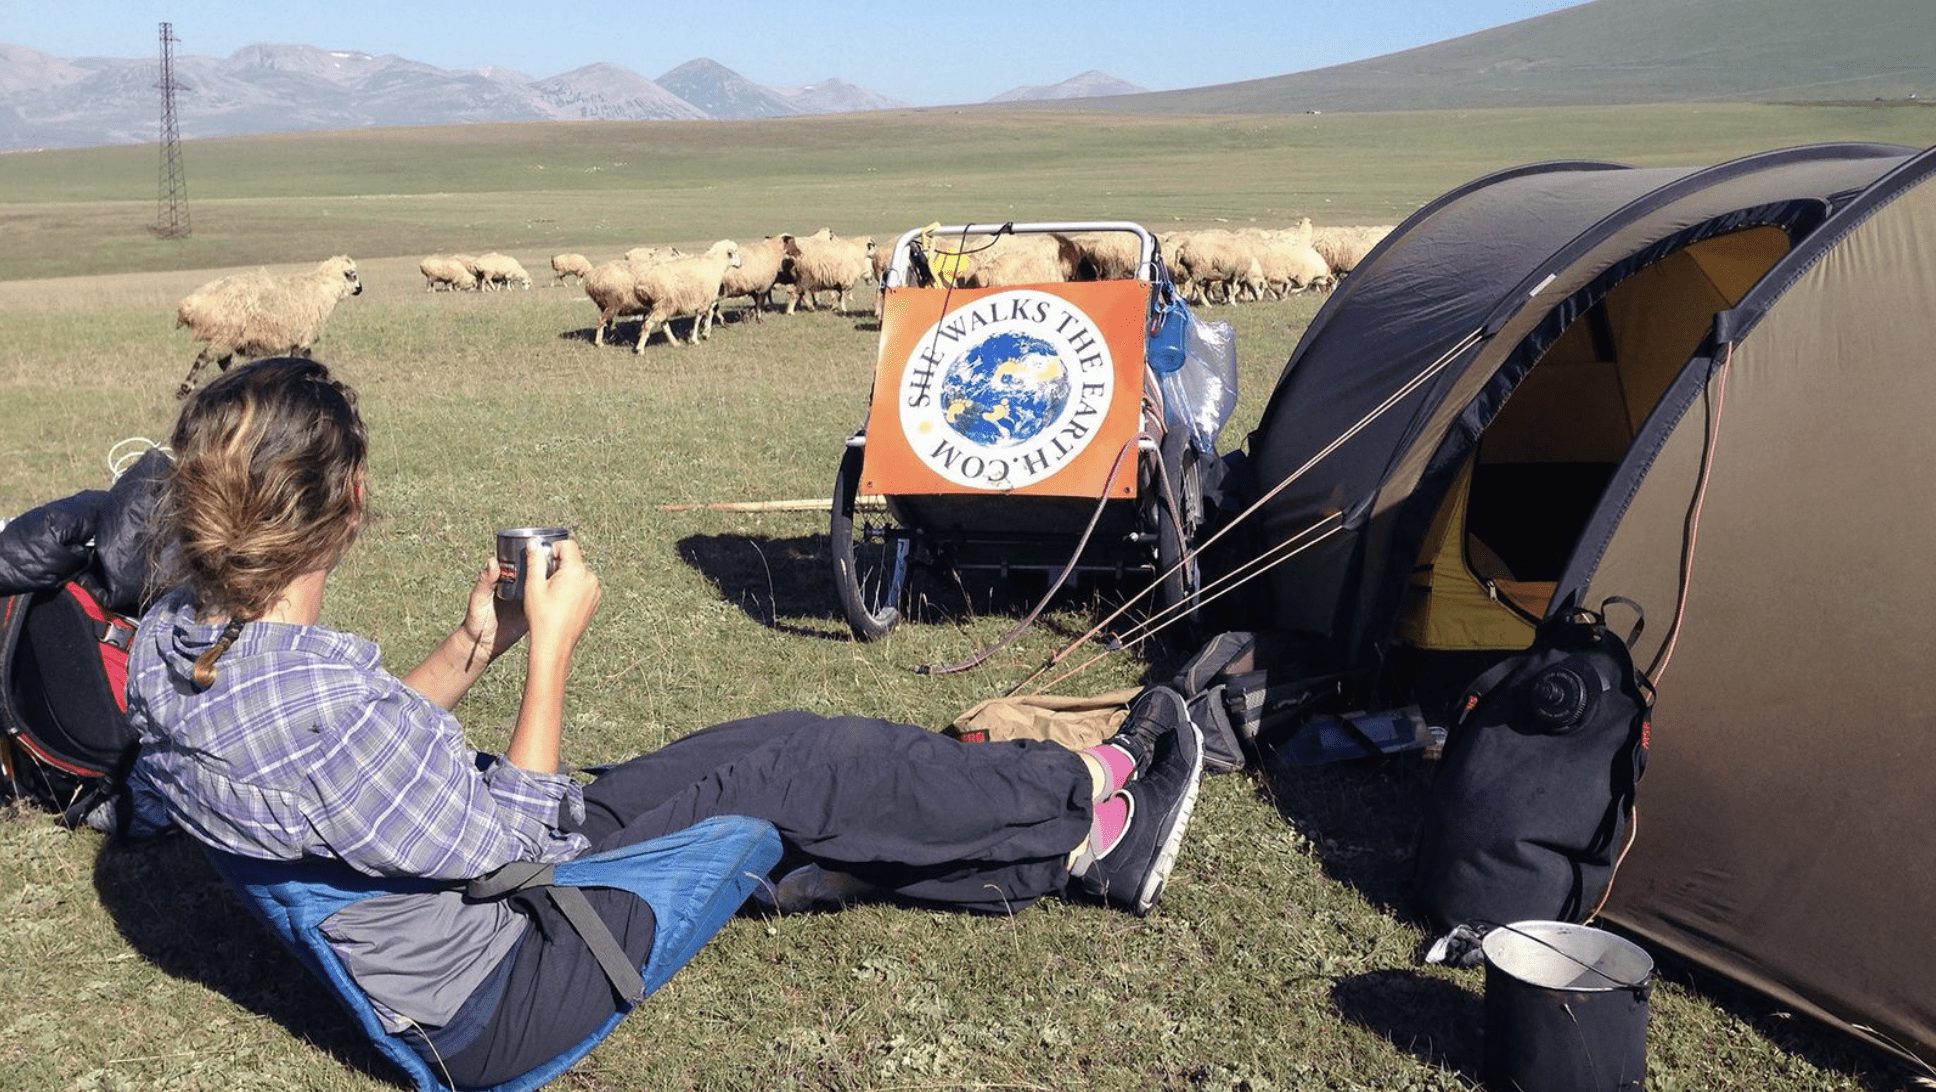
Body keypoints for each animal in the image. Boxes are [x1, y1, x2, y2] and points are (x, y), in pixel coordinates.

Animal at [173, 256, 362, 398]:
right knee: (204, 357)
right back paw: (185, 388)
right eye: (353, 275)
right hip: (227, 334)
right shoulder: (304, 335)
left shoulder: (299, 338)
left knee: (223, 361)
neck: (324, 288)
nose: (361, 289)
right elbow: (301, 359)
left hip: (226, 337)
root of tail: (194, 304)